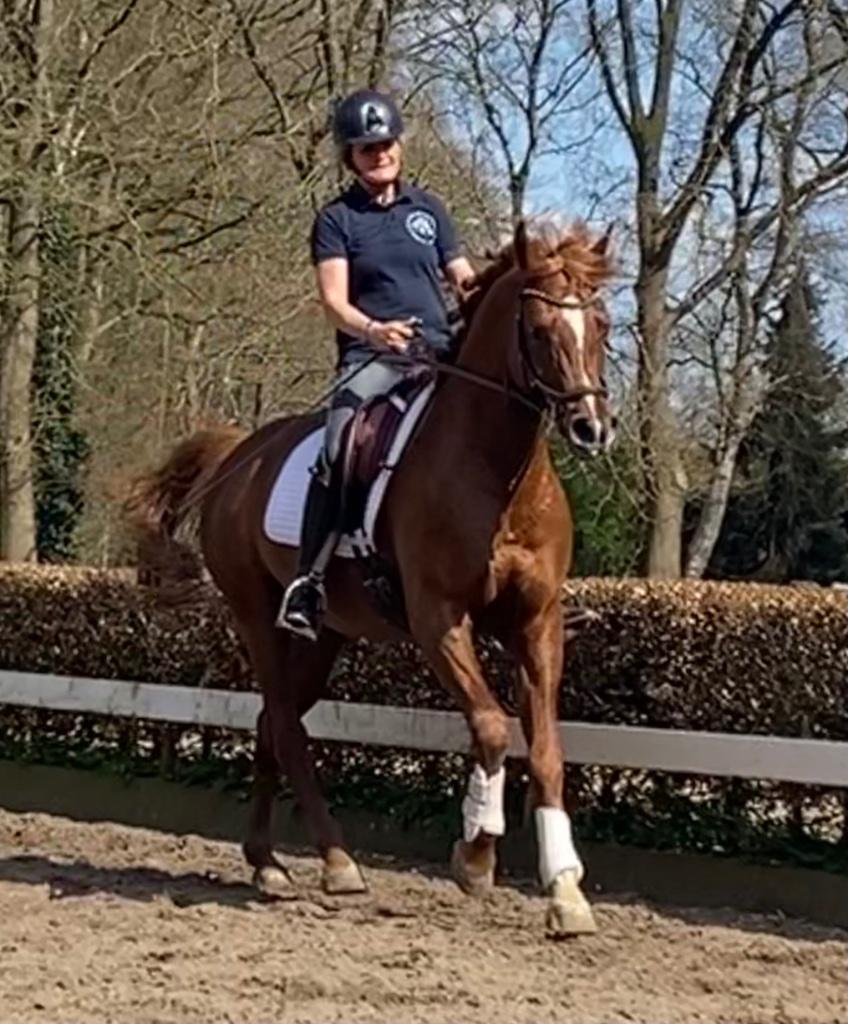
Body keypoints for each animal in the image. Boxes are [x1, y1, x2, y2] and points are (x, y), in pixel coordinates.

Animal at [130, 217, 616, 937]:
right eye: (536, 328)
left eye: (602, 324)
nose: (591, 427)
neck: (496, 477)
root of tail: (240, 455)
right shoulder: (440, 620)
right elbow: (492, 727)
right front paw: (475, 857)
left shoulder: (538, 622)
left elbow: (548, 750)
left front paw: (565, 891)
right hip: (258, 617)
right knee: (285, 723)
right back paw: (336, 861)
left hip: (324, 636)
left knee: (272, 724)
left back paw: (268, 862)